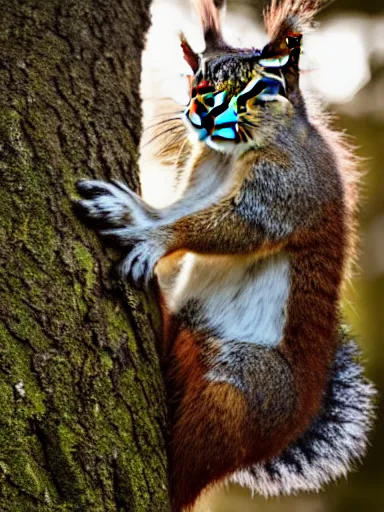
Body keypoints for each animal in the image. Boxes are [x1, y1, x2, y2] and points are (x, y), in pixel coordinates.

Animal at [74, 1, 376, 512]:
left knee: (190, 464)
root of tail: (282, 430)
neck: (229, 157)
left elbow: (237, 227)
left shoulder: (288, 186)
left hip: (237, 389)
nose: (202, 114)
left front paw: (151, 236)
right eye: (197, 79)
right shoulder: (200, 177)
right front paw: (135, 211)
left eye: (261, 87)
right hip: (194, 342)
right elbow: (182, 208)